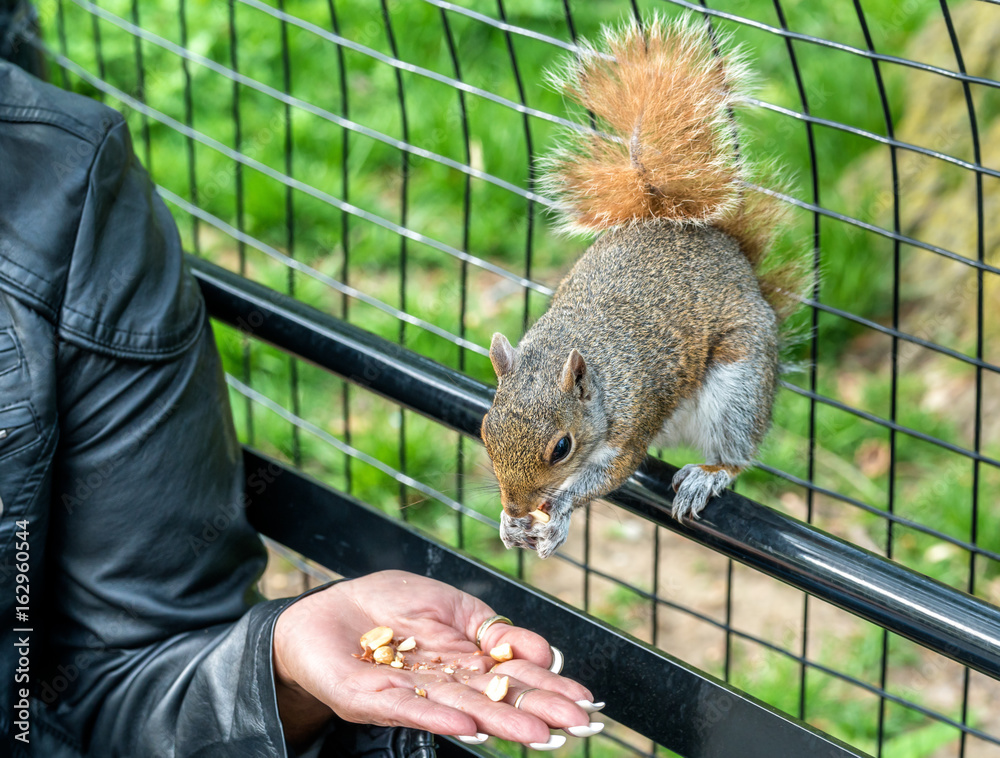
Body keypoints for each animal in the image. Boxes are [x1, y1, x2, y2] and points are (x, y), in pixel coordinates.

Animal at [478, 11, 804, 560]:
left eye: (562, 447)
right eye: (486, 430)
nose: (518, 506)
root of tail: (730, 253)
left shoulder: (633, 418)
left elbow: (612, 473)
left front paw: (558, 513)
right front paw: (509, 523)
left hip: (740, 382)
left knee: (736, 450)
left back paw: (709, 474)